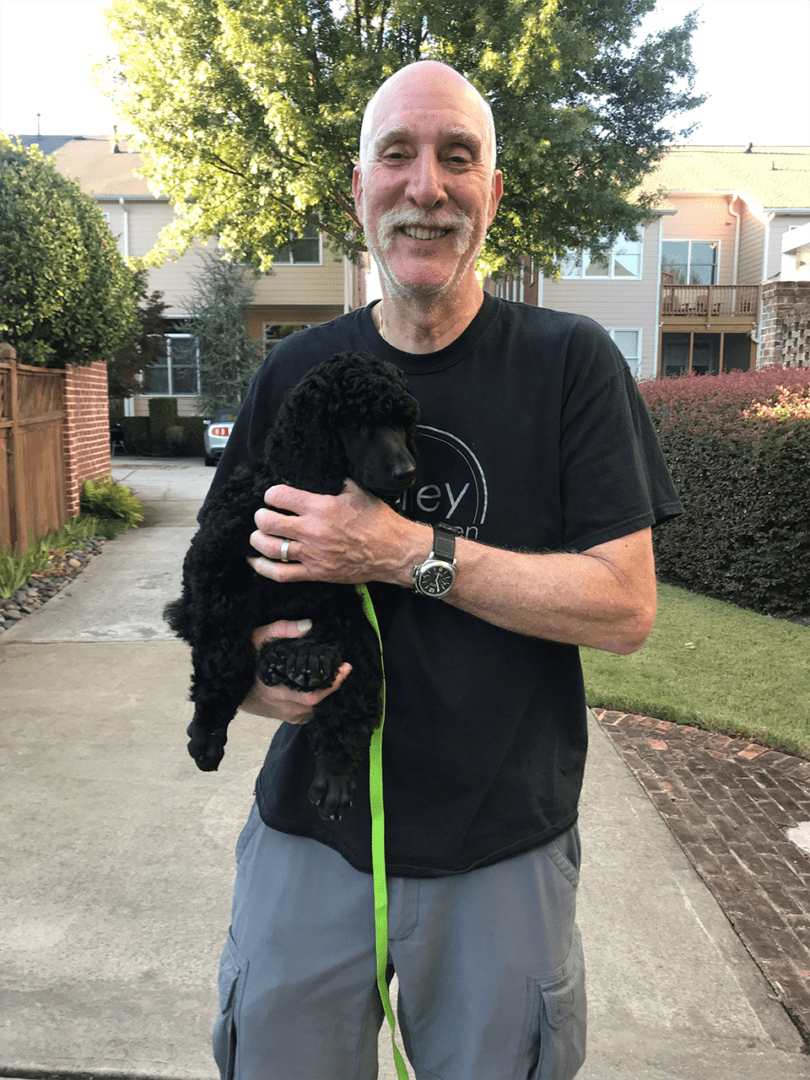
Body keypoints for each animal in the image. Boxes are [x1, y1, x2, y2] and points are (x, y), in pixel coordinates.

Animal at [163, 352, 419, 816]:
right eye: (355, 424)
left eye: (400, 422)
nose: (405, 472)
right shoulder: (212, 575)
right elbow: (220, 656)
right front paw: (208, 730)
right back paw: (289, 661)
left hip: (358, 634)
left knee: (352, 698)